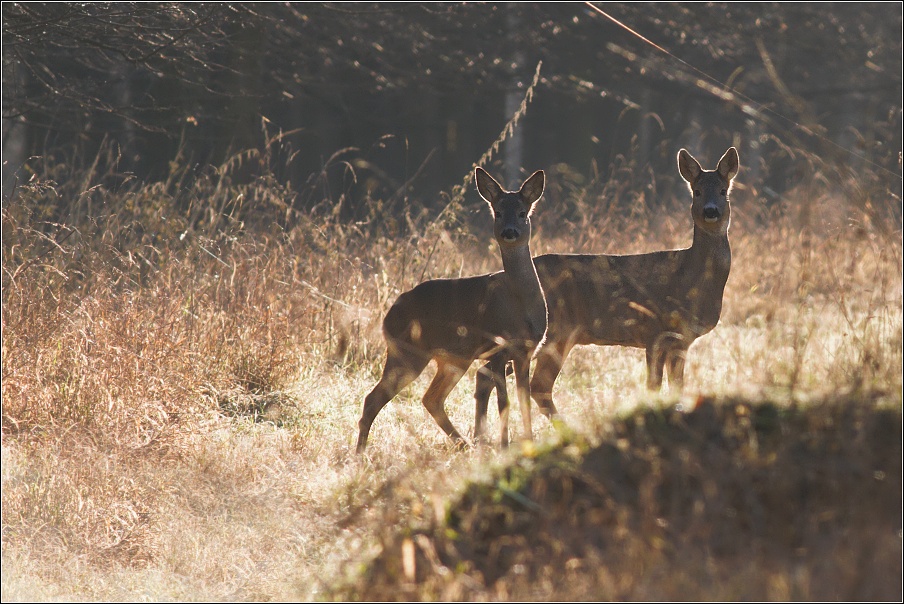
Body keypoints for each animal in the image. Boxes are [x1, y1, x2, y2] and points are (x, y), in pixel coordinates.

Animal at [356, 168, 548, 450]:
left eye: (523, 212)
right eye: (498, 212)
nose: (510, 232)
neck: (520, 306)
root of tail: (387, 316)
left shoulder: (525, 351)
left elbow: (523, 401)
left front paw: (528, 442)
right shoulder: (499, 348)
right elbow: (504, 401)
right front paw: (505, 446)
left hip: (454, 358)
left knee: (431, 398)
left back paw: (464, 443)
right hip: (407, 351)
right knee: (374, 399)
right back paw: (360, 452)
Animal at [474, 146, 740, 438]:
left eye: (724, 190)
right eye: (697, 191)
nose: (711, 211)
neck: (689, 277)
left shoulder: (681, 340)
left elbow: (677, 389)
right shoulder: (654, 331)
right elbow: (654, 386)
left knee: (494, 376)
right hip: (553, 334)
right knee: (532, 384)